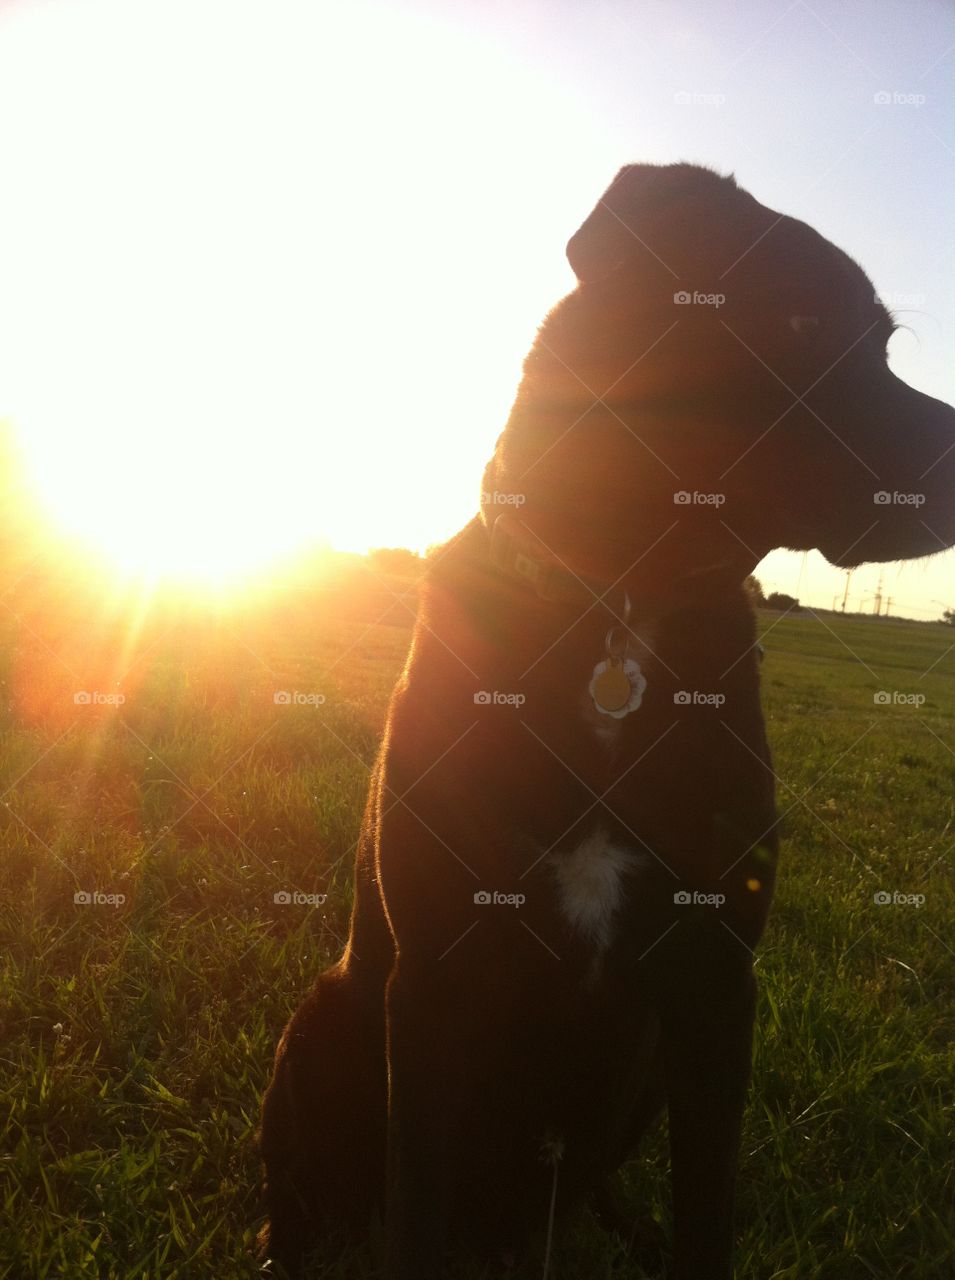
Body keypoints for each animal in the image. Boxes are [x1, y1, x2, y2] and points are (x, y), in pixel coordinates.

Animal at [258, 165, 952, 1274]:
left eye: (883, 341)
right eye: (804, 318)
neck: (621, 604)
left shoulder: (716, 982)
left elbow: (708, 1210)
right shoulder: (437, 979)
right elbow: (416, 1217)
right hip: (326, 1019)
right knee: (306, 1193)